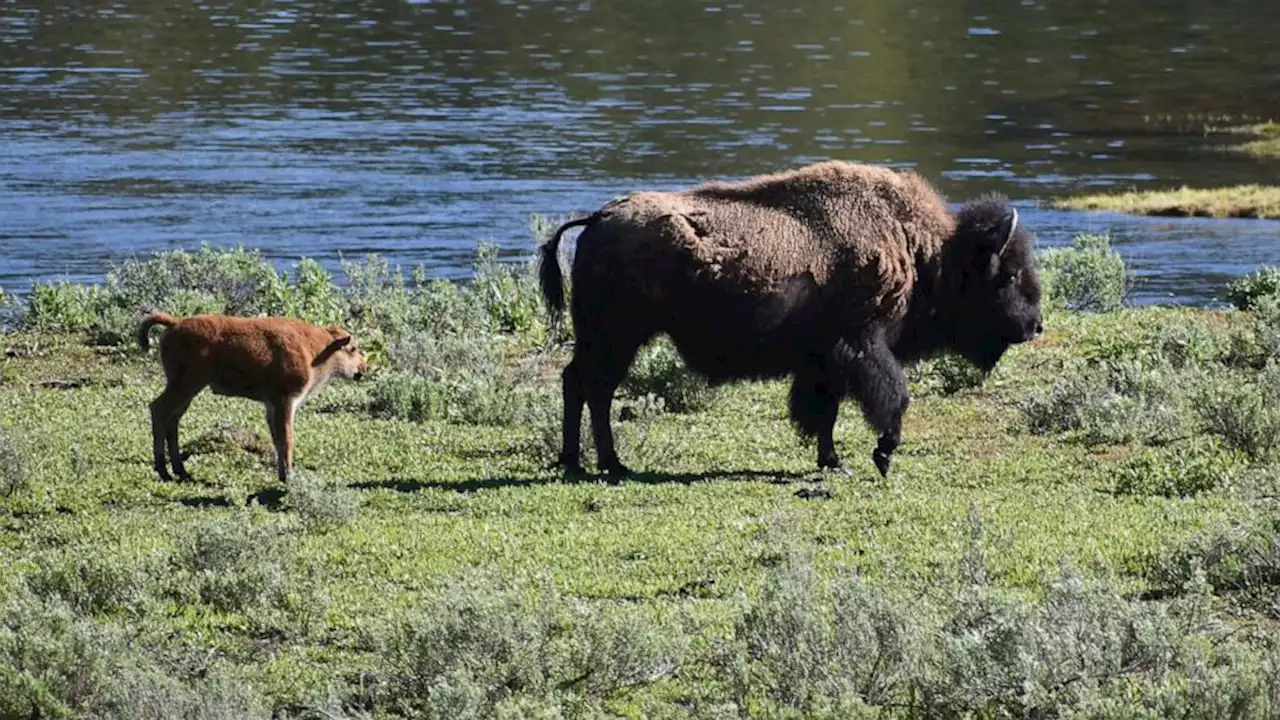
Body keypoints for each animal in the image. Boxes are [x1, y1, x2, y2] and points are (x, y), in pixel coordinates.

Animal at [138, 310, 368, 481]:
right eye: (353, 348)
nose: (363, 368)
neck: (317, 349)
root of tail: (175, 322)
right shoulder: (285, 401)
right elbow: (287, 438)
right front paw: (289, 477)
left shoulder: (272, 405)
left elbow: (277, 439)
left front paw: (282, 475)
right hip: (186, 385)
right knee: (159, 410)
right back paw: (165, 472)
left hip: (188, 390)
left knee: (173, 418)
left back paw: (182, 472)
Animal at [537, 160, 1039, 479]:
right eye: (1009, 274)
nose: (1036, 325)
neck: (921, 250)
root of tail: (599, 218)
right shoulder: (862, 346)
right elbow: (891, 397)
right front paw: (881, 456)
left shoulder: (824, 360)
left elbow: (824, 411)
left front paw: (833, 462)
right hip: (617, 338)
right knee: (595, 389)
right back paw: (608, 464)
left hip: (607, 339)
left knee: (578, 383)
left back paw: (577, 461)